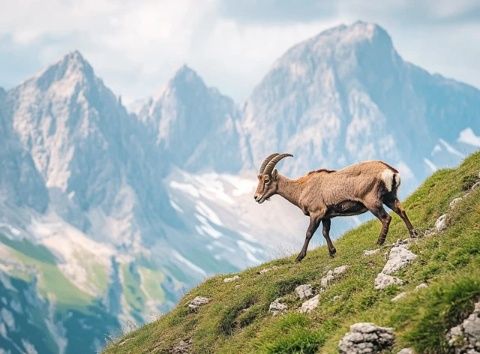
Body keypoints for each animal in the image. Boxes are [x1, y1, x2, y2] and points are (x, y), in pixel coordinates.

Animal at [255, 153, 416, 262]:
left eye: (267, 180)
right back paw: (413, 233)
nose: (256, 197)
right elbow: (325, 232)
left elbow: (309, 233)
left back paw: (380, 241)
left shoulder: (316, 212)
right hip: (390, 196)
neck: (301, 188)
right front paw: (332, 252)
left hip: (372, 201)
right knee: (401, 211)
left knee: (386, 218)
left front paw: (299, 257)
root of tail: (390, 171)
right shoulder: (326, 215)